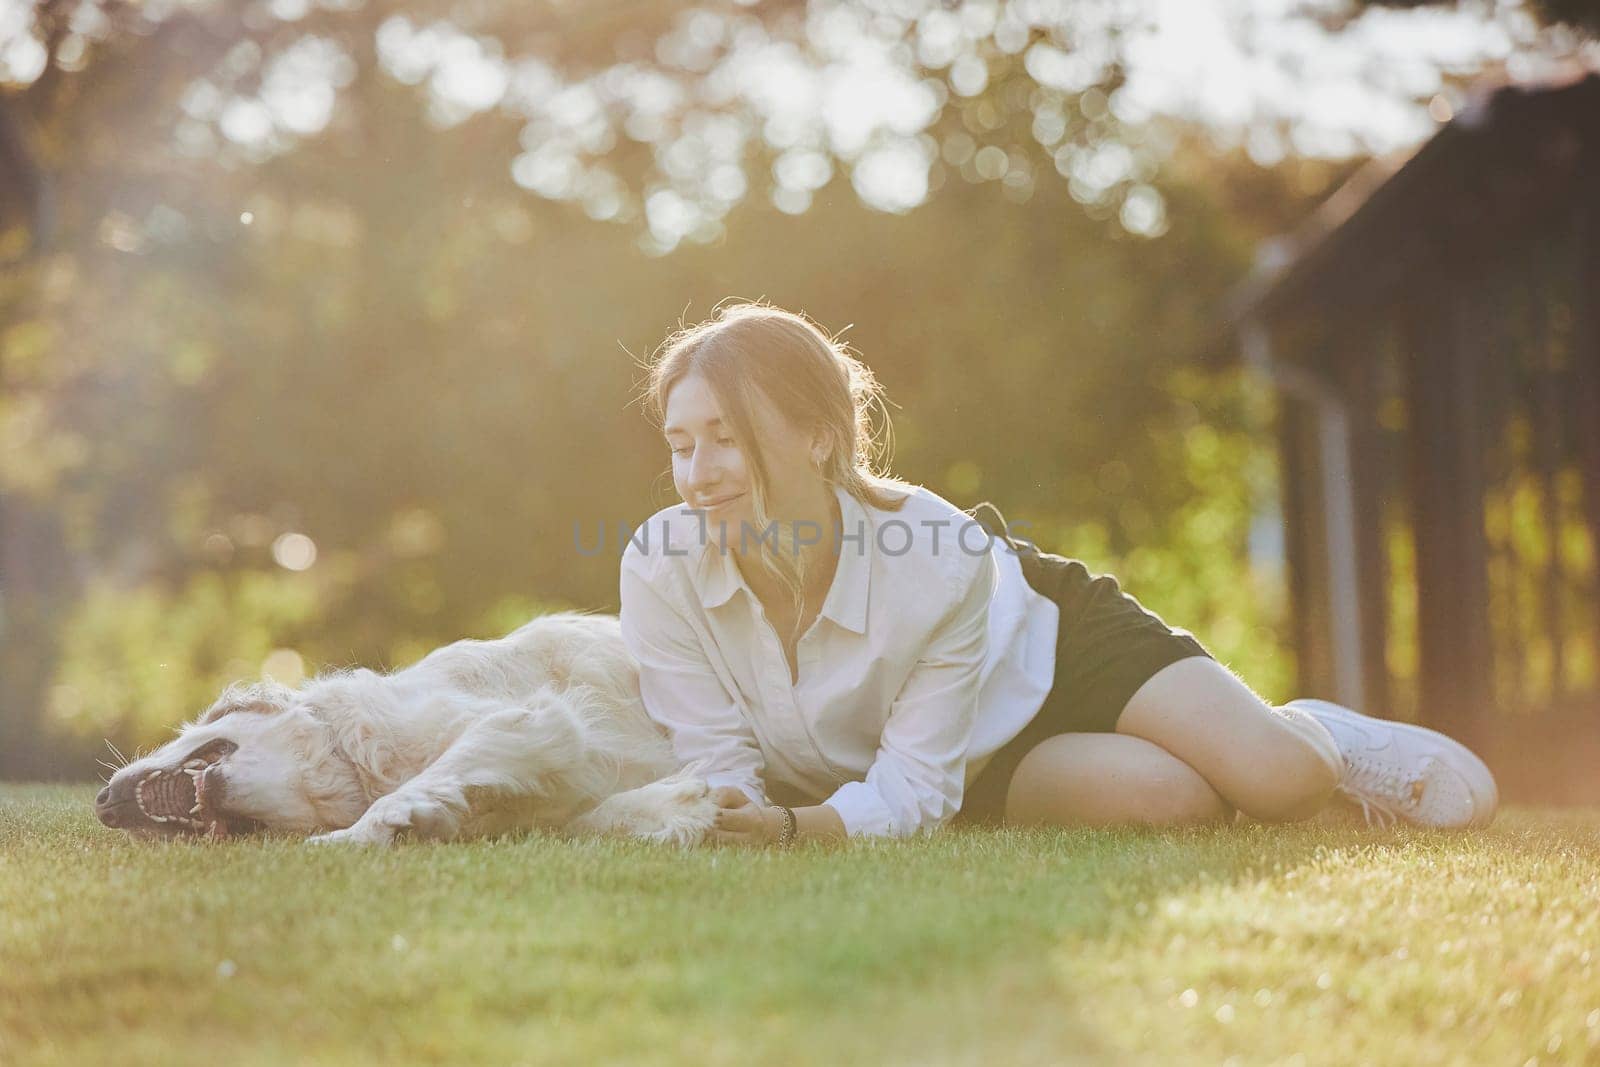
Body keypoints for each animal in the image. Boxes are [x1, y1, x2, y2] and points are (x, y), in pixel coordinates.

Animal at [96, 614, 723, 844]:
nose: (102, 804)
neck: (347, 756)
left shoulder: (528, 722)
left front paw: (359, 834)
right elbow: (593, 818)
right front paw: (682, 807)